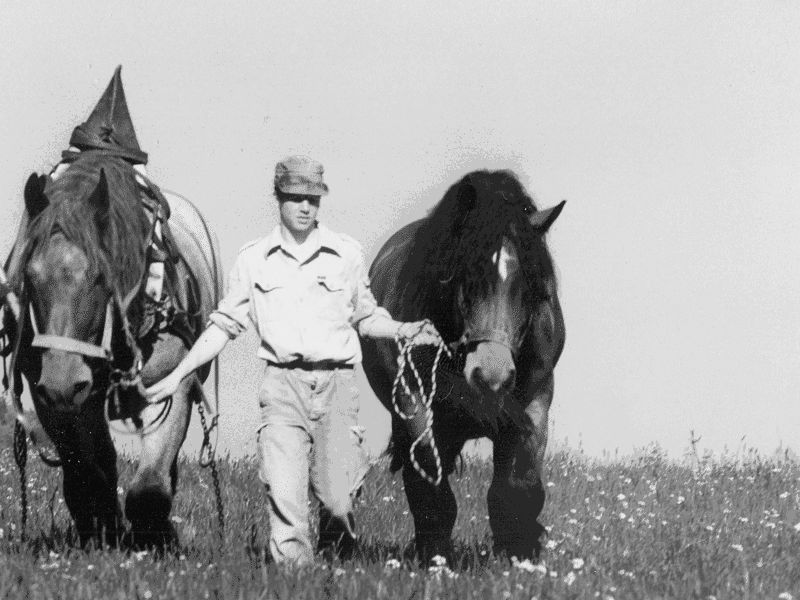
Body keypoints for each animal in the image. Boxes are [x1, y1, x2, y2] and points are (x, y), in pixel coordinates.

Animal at [2, 151, 221, 548]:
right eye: (30, 276)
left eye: (101, 276)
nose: (62, 380)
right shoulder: (56, 402)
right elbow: (87, 476)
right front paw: (103, 531)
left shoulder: (169, 387)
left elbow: (149, 488)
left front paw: (156, 539)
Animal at [361, 169, 565, 564]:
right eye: (466, 278)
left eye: (529, 286)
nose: (492, 373)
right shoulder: (415, 405)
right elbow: (432, 490)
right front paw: (435, 555)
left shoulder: (533, 403)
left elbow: (517, 487)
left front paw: (520, 550)